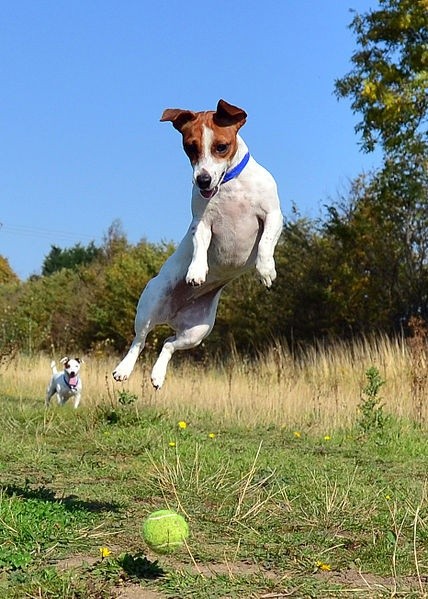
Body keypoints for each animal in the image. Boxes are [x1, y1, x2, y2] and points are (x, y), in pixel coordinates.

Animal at [112, 99, 282, 390]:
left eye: (221, 147)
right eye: (190, 147)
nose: (202, 179)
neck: (230, 185)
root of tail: (173, 315)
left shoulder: (272, 215)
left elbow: (265, 244)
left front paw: (265, 270)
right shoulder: (201, 223)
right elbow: (200, 245)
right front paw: (196, 272)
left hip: (197, 330)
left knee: (168, 344)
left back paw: (157, 375)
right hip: (151, 302)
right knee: (140, 341)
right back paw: (123, 369)